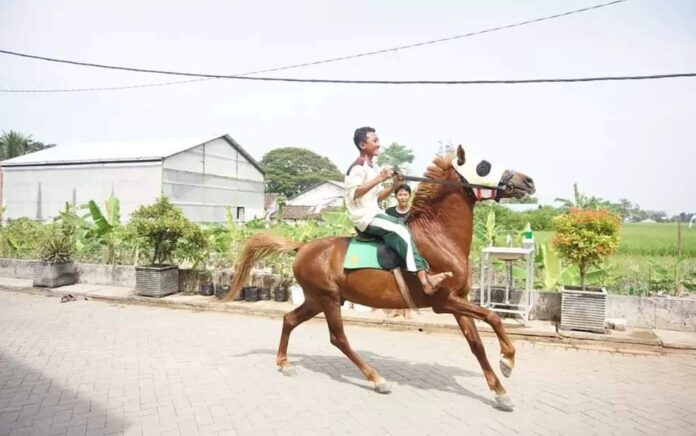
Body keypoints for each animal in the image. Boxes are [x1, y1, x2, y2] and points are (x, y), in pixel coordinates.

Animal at [223, 145, 532, 410]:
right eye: (483, 166)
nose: (527, 180)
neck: (439, 236)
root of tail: (303, 247)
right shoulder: (443, 301)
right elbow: (492, 317)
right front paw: (508, 360)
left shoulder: (459, 300)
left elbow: (476, 343)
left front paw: (500, 392)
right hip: (328, 299)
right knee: (338, 338)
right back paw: (377, 379)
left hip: (317, 299)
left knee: (289, 320)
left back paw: (285, 363)